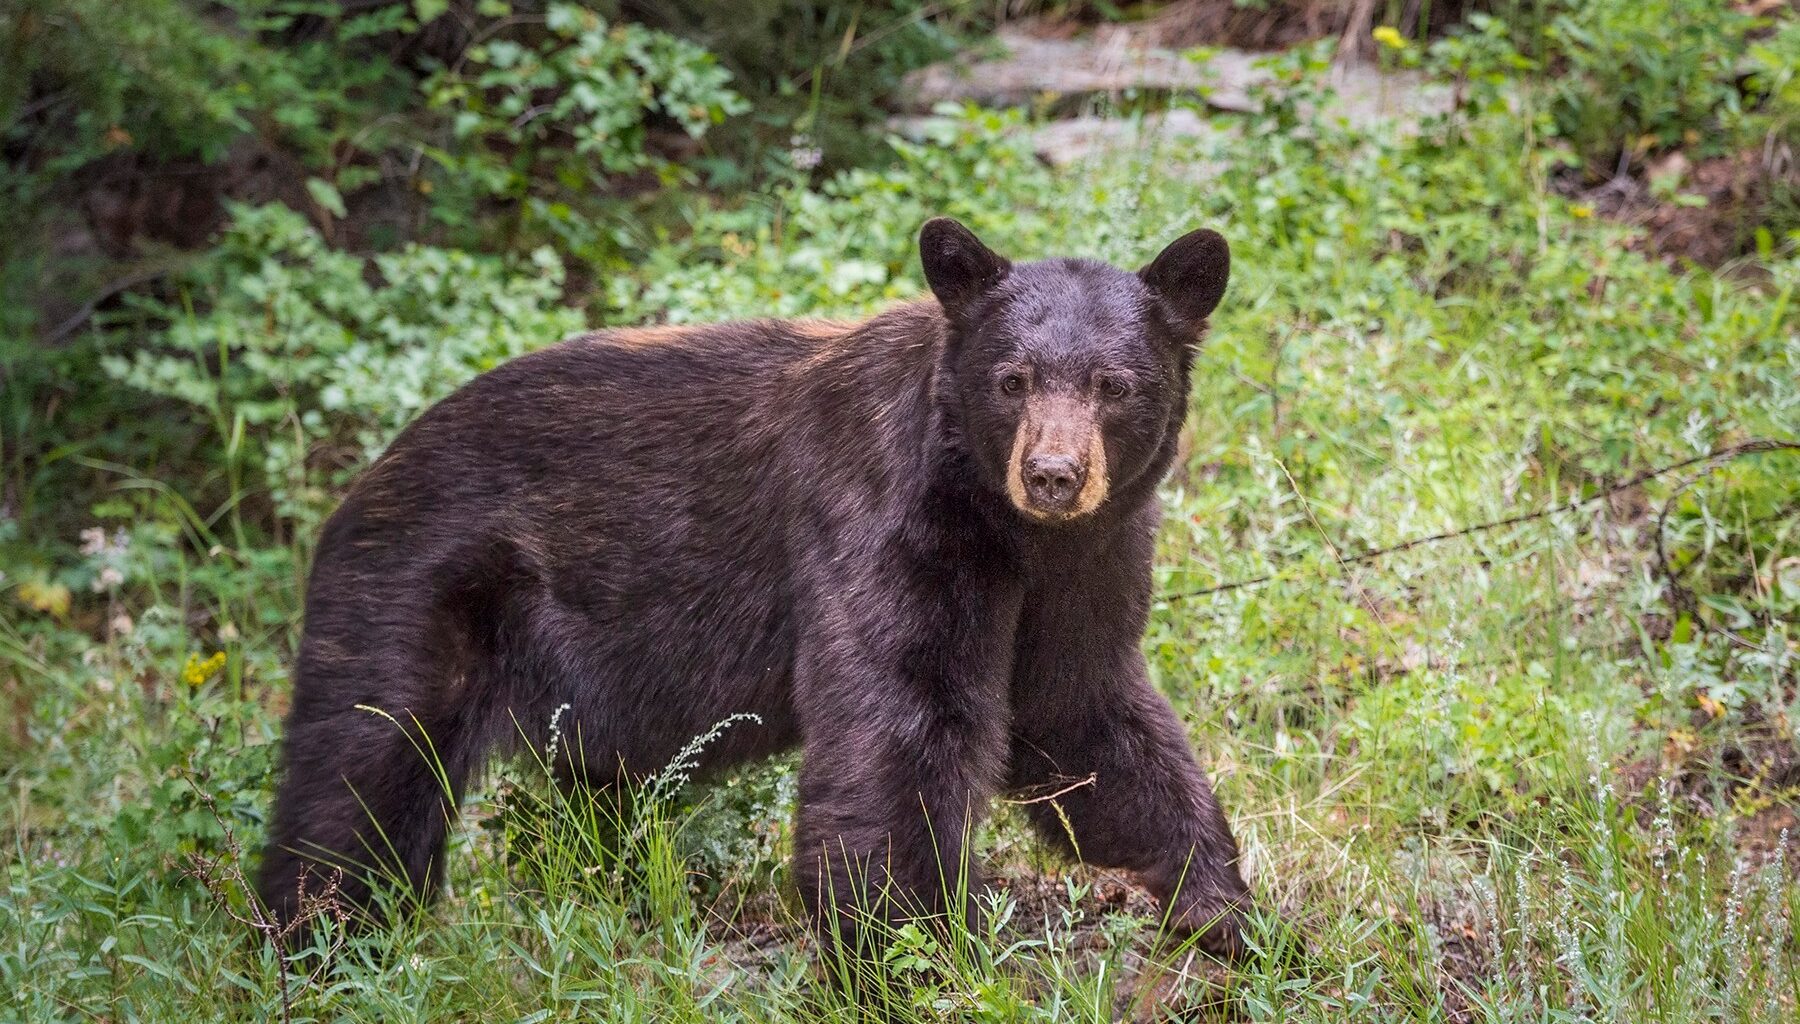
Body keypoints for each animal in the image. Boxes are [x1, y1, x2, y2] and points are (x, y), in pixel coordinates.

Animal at [259, 217, 1255, 959]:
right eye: (1012, 380)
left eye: (1112, 384)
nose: (1052, 475)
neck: (1002, 525)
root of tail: (362, 478)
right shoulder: (886, 524)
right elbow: (897, 723)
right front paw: (909, 952)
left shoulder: (1088, 560)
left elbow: (1079, 712)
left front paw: (1222, 905)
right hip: (420, 594)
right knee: (360, 774)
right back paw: (320, 940)